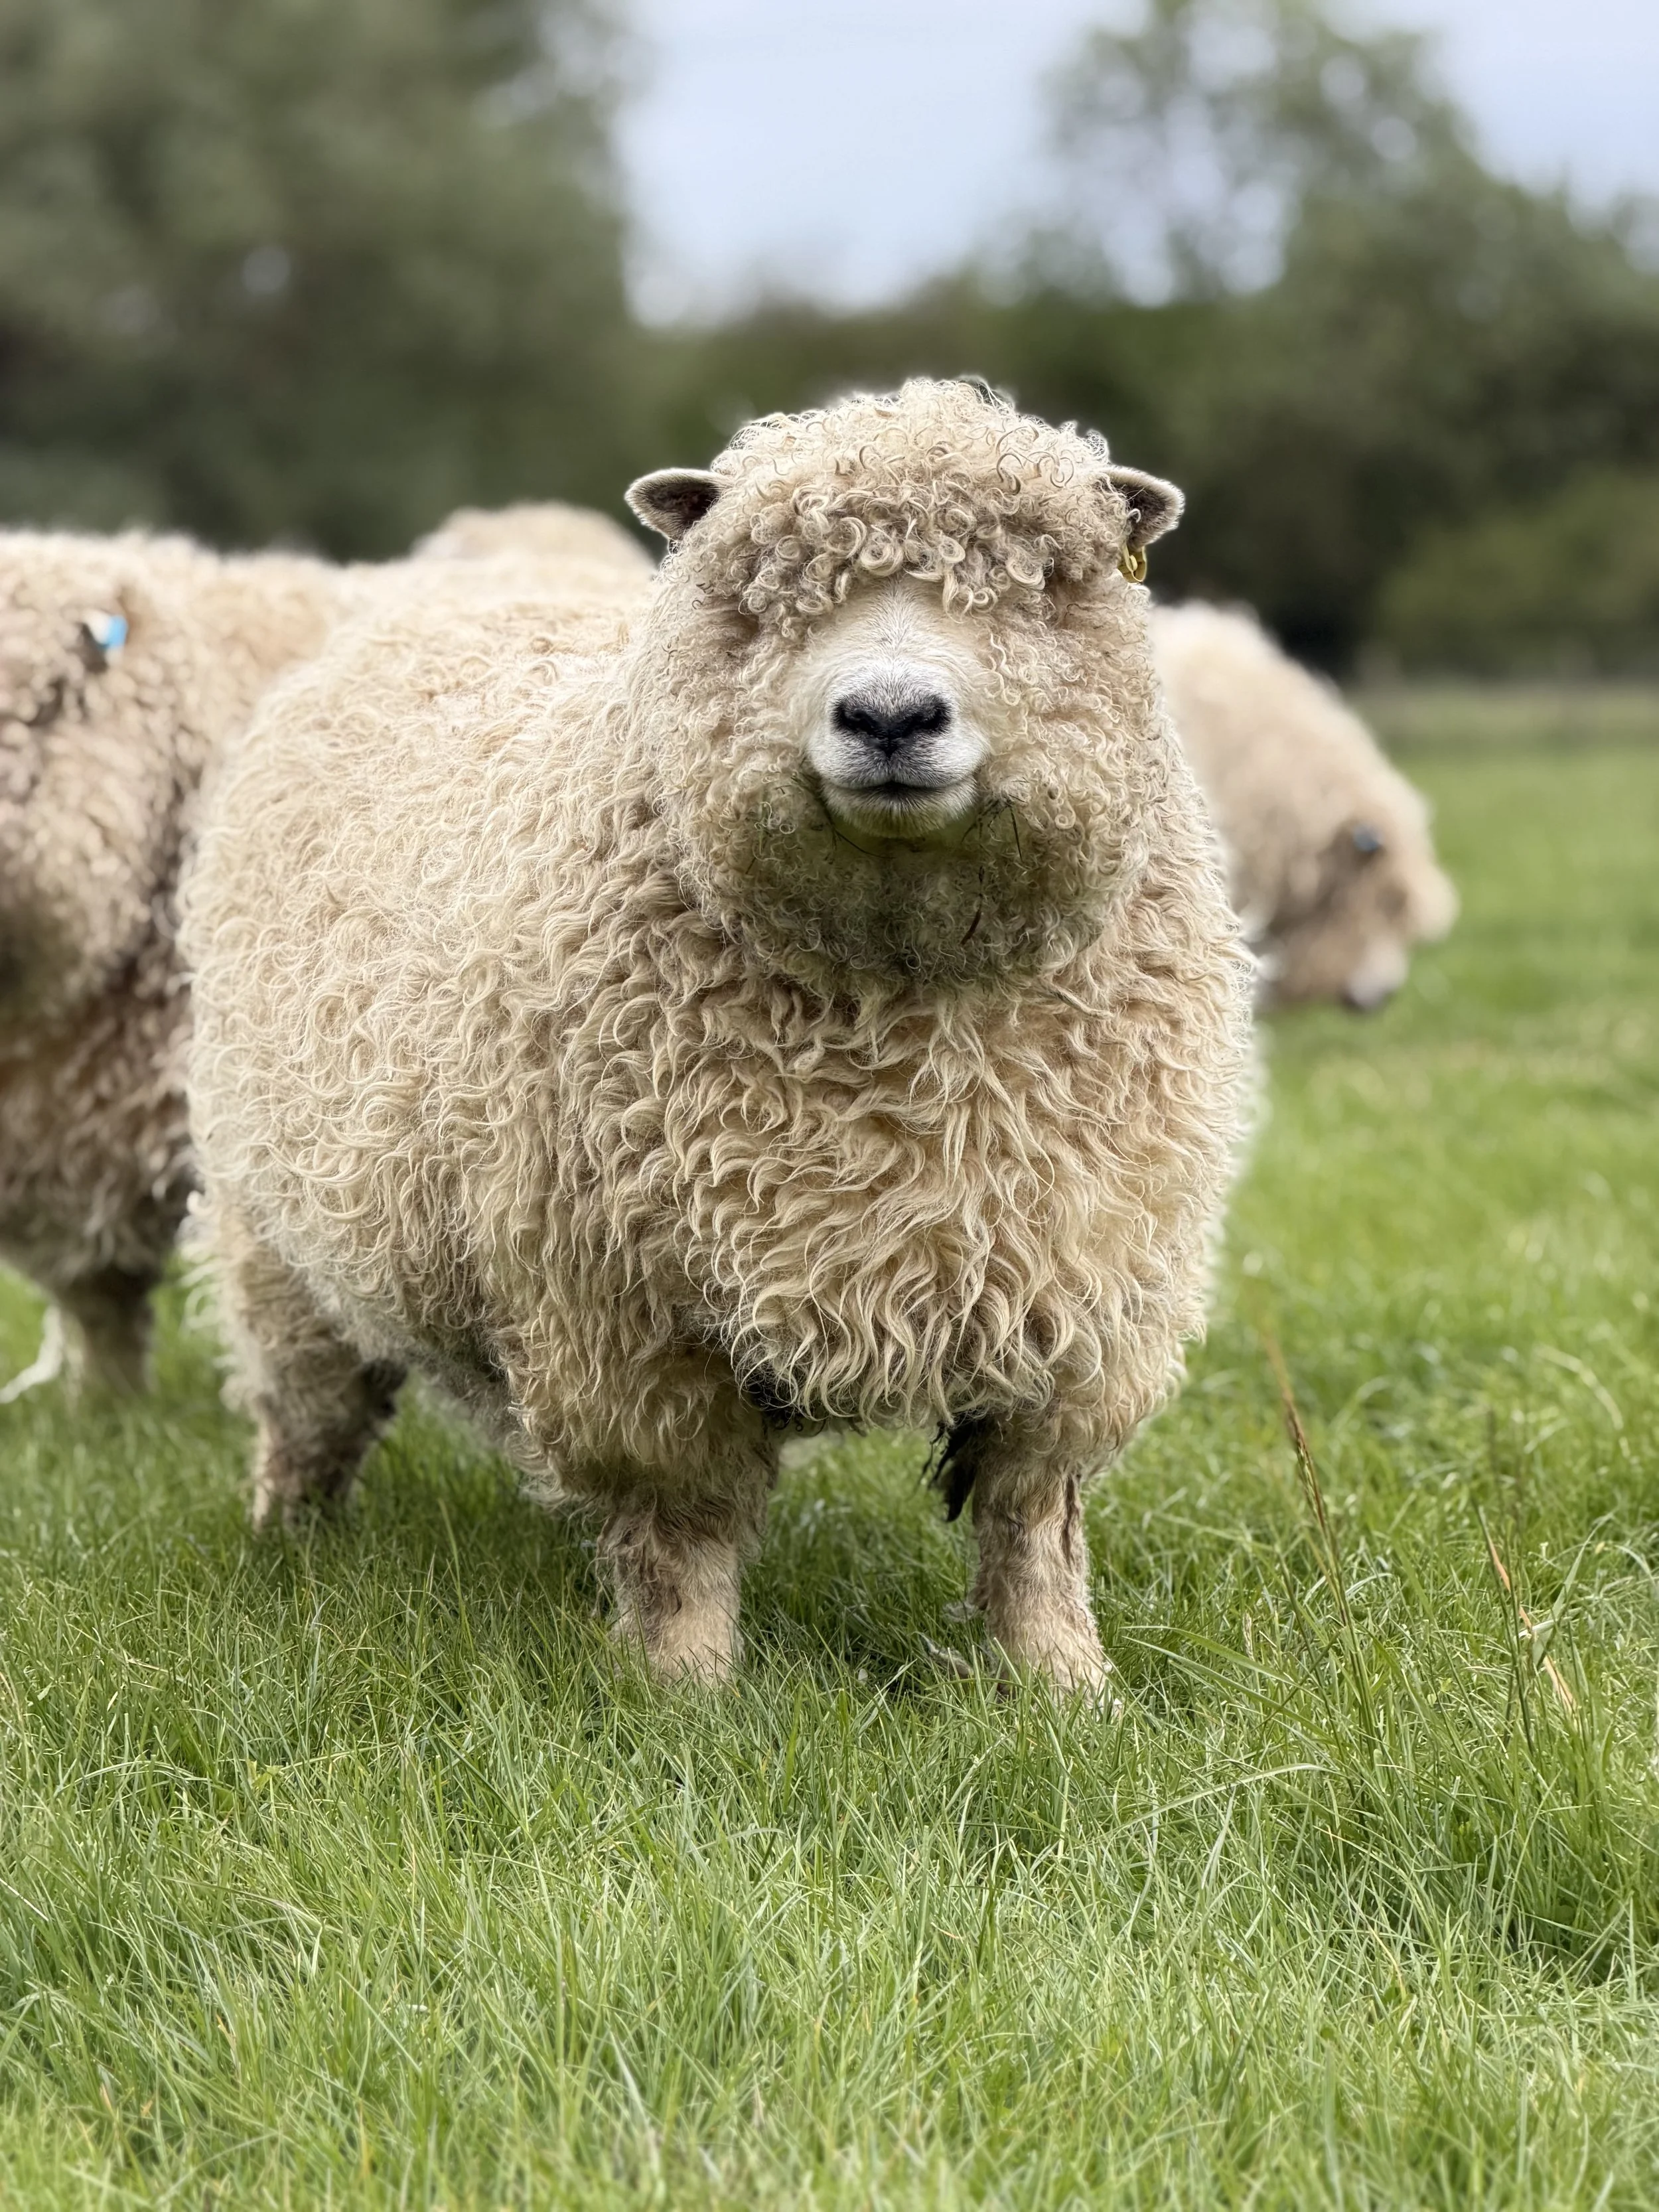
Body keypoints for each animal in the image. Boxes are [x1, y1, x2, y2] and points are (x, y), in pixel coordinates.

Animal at [183, 379, 1253, 1691]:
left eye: (1045, 583)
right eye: (760, 592)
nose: (889, 714)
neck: (905, 1001)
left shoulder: (1084, 1303)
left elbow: (1031, 1521)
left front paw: (1061, 1685)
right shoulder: (628, 1316)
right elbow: (682, 1523)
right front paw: (682, 1684)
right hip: (272, 1235)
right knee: (307, 1409)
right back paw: (288, 1549)